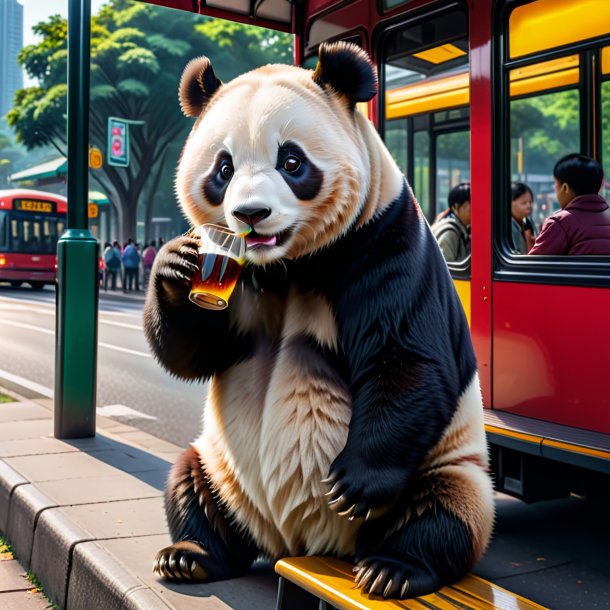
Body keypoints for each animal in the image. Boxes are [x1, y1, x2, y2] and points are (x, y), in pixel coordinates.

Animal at [144, 44, 494, 600]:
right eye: (223, 168)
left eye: (291, 161)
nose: (250, 215)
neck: (287, 265)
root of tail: (296, 546)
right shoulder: (246, 285)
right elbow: (197, 354)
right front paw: (179, 265)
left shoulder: (383, 239)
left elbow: (407, 355)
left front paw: (352, 483)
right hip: (221, 465)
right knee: (189, 479)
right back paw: (191, 555)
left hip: (447, 464)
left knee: (441, 511)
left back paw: (393, 568)